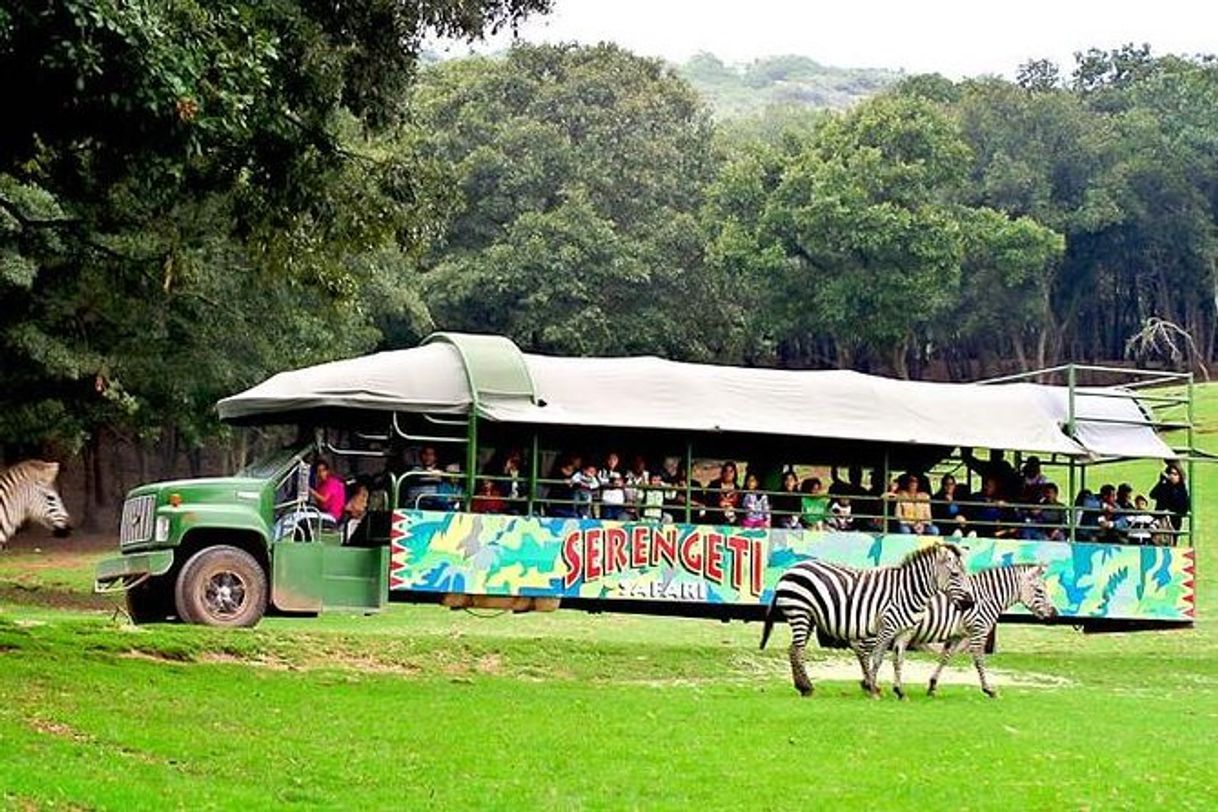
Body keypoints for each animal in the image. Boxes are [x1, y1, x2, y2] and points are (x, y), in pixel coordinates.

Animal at [755, 540, 974, 701]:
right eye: (955, 574)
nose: (970, 603)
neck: (908, 591)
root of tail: (789, 570)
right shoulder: (887, 627)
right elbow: (877, 658)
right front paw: (874, 691)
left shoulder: (904, 631)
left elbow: (898, 660)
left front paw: (899, 692)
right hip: (799, 611)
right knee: (798, 650)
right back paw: (807, 688)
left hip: (808, 617)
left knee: (792, 649)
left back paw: (802, 687)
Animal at [886, 564, 1057, 701]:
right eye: (1040, 591)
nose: (1054, 614)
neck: (987, 597)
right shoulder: (979, 631)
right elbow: (979, 661)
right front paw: (988, 690)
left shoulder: (957, 635)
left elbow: (945, 658)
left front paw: (932, 686)